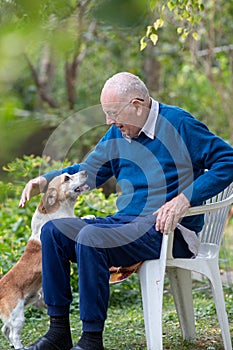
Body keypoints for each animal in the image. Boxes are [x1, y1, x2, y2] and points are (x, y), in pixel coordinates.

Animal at [0, 171, 89, 348]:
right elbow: (78, 221)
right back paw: (20, 347)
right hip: (17, 316)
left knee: (5, 330)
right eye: (67, 178)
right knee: (13, 334)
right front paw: (89, 216)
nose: (84, 171)